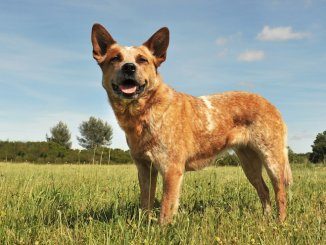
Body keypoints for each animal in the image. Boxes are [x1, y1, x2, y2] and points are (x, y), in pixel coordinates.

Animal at [90, 23, 292, 225]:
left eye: (142, 60)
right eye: (115, 58)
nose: (129, 67)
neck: (143, 113)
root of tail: (271, 104)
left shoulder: (171, 169)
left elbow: (166, 209)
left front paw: (161, 229)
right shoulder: (145, 169)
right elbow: (146, 203)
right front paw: (144, 226)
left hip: (272, 159)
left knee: (280, 192)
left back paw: (280, 223)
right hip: (248, 163)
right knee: (264, 190)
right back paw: (266, 219)